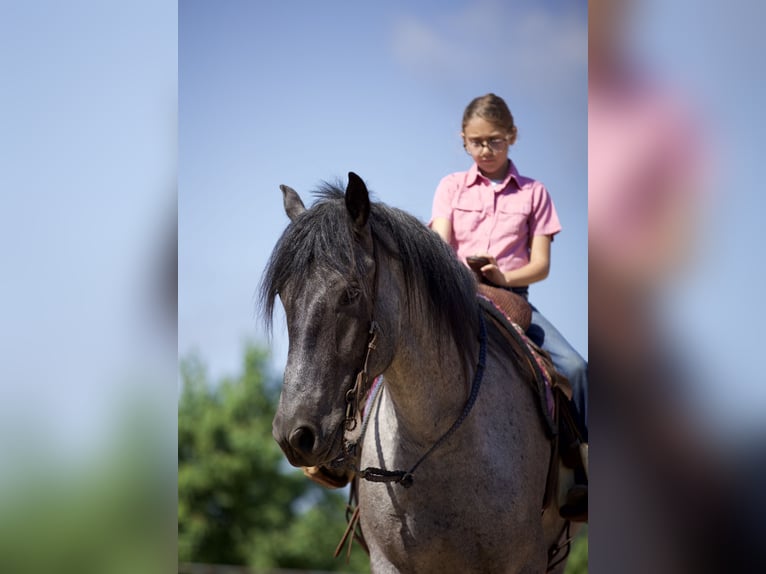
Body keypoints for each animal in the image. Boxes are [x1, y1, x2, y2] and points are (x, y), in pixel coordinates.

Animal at [260, 172, 575, 573]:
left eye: (350, 292)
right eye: (285, 296)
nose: (294, 435)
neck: (436, 440)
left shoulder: (525, 562)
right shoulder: (388, 563)